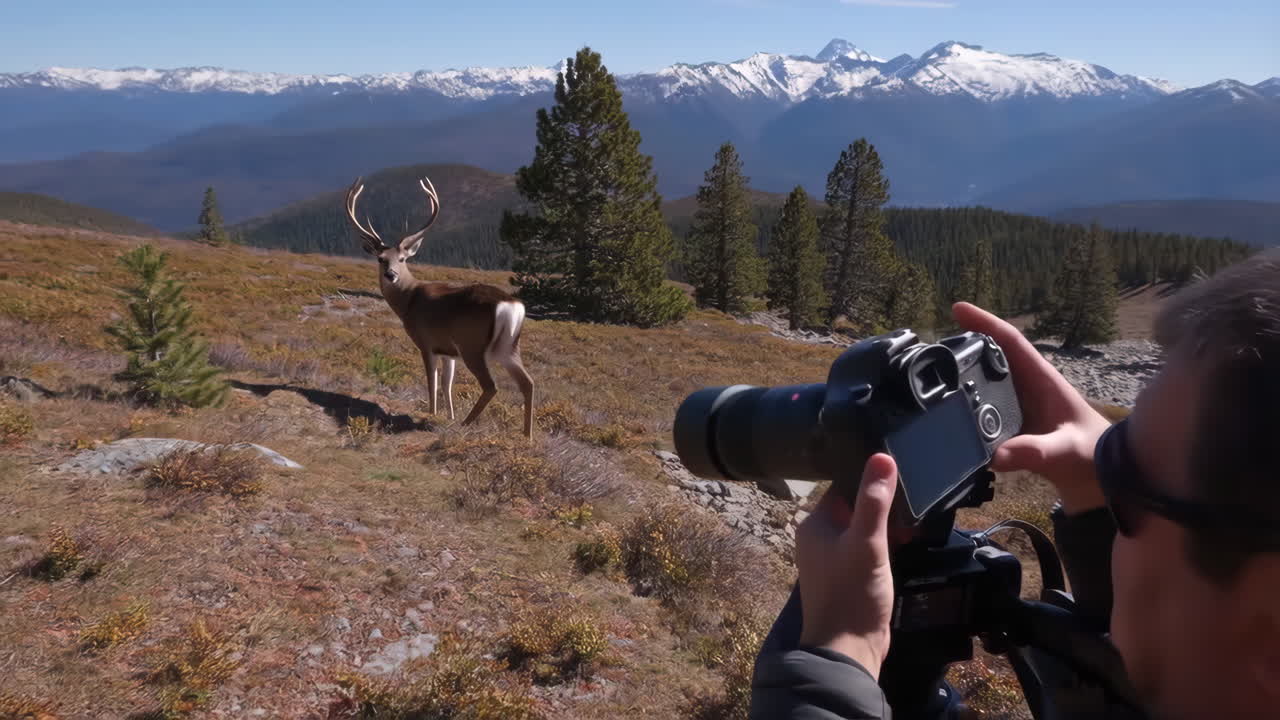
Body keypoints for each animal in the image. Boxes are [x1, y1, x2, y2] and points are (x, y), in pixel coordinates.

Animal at [344, 175, 535, 439]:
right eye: (381, 259)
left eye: (402, 259)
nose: (391, 275)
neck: (408, 300)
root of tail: (511, 304)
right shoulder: (448, 351)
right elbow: (447, 383)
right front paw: (449, 415)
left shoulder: (426, 342)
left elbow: (432, 382)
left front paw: (432, 414)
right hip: (508, 347)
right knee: (528, 383)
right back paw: (527, 436)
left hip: (472, 344)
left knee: (491, 385)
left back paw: (466, 424)